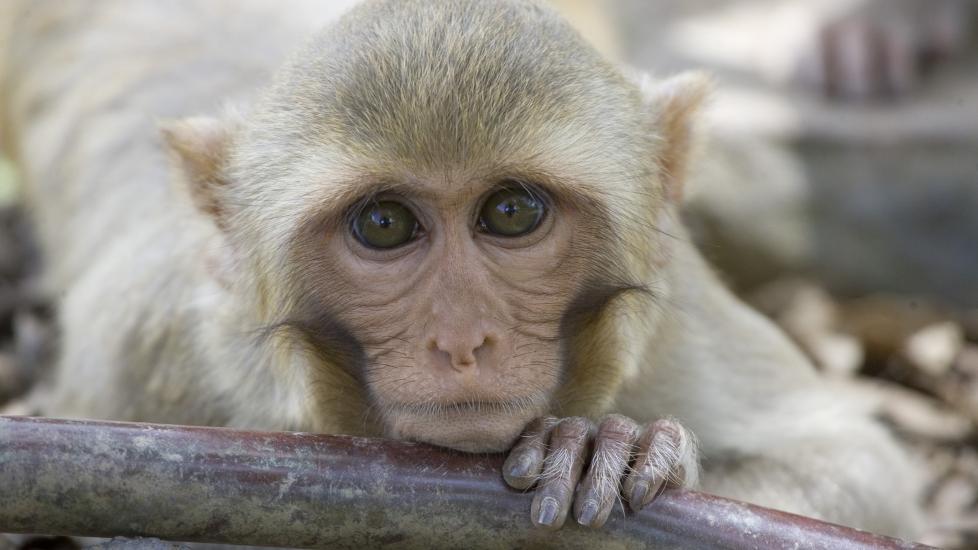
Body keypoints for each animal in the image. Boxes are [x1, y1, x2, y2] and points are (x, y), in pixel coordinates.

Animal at [0, 0, 922, 538]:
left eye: (511, 212)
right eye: (383, 225)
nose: (462, 340)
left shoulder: (674, 316)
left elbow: (853, 463)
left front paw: (604, 449)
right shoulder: (145, 352)